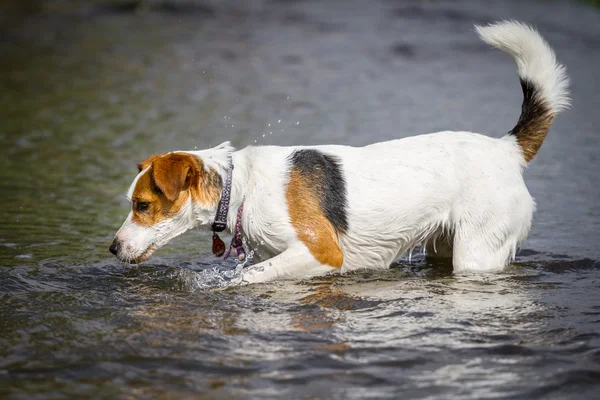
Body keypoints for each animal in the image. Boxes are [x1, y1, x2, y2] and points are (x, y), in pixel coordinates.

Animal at [110, 21, 568, 284]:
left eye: (143, 205)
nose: (111, 248)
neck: (239, 188)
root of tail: (507, 148)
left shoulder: (320, 253)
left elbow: (248, 278)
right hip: (444, 246)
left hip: (477, 252)